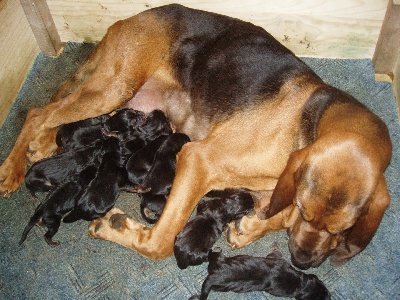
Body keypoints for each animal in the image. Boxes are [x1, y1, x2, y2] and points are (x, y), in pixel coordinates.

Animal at [0, 4, 390, 268]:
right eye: (310, 215)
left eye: (344, 228)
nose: (302, 263)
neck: (310, 122)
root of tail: (129, 19)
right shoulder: (197, 159)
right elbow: (159, 242)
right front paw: (118, 228)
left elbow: (279, 213)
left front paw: (250, 228)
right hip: (115, 86)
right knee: (37, 113)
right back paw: (12, 169)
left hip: (114, 98)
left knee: (57, 119)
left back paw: (40, 147)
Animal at [191, 248, 332, 300]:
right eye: (322, 298)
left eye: (325, 289)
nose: (330, 296)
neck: (301, 283)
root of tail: (214, 275)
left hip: (219, 261)